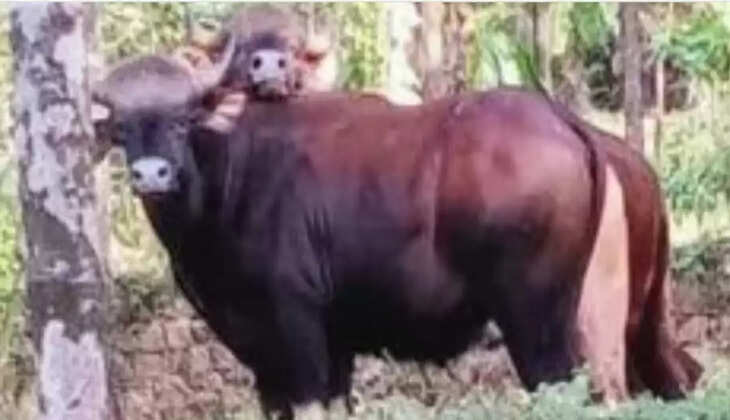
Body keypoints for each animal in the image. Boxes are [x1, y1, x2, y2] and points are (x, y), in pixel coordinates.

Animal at [92, 38, 700, 419]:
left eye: (183, 119)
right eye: (122, 128)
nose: (152, 175)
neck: (228, 183)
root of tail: (570, 124)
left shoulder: (298, 331)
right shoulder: (295, 353)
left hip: (542, 321)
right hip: (634, 321)